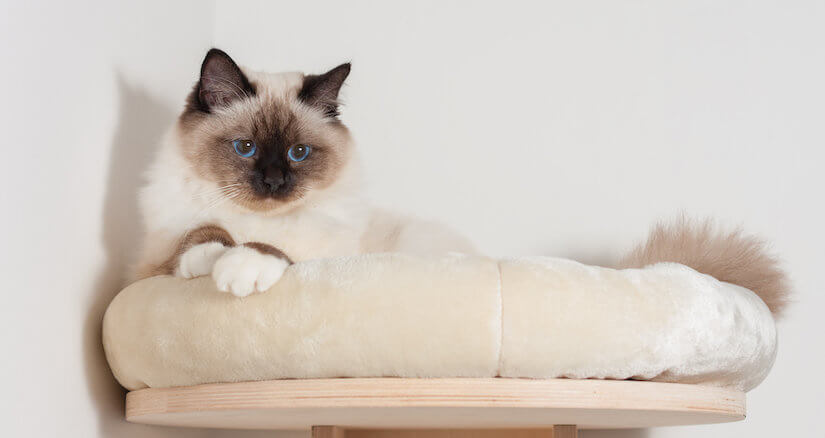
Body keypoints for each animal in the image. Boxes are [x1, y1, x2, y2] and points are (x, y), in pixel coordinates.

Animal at [132, 48, 474, 298]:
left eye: (298, 152)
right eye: (246, 147)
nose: (274, 181)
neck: (260, 221)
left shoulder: (323, 262)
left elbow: (276, 250)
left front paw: (243, 265)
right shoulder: (148, 272)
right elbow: (201, 232)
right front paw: (211, 256)